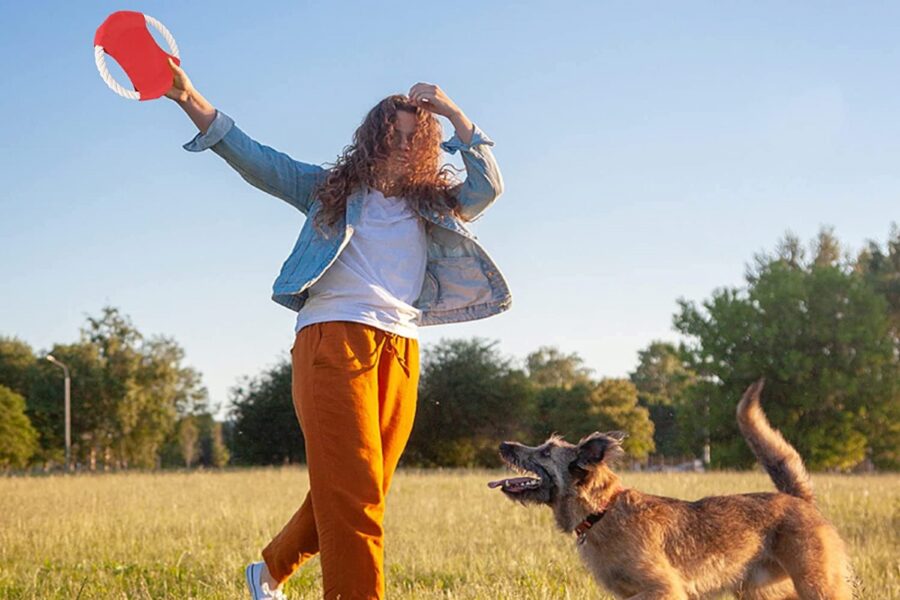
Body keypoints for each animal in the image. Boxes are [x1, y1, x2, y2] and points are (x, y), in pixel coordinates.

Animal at [488, 382, 856, 596]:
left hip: (817, 585)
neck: (602, 512)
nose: (504, 444)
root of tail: (798, 499)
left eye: (545, 452)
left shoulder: (662, 589)